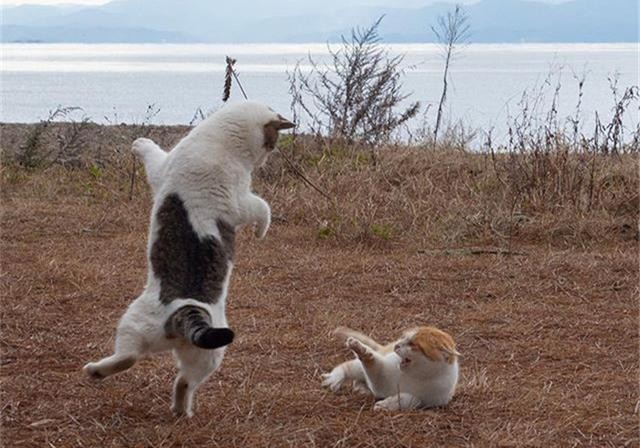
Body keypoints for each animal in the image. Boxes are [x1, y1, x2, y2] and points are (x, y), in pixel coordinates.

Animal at [82, 100, 296, 416]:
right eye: (272, 142)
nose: (268, 156)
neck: (222, 143)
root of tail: (191, 311)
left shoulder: (172, 172)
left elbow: (263, 208)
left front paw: (140, 143)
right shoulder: (239, 201)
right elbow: (262, 208)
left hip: (134, 320)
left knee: (129, 357)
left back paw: (95, 370)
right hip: (208, 356)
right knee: (184, 381)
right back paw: (182, 409)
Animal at [322, 326, 458, 410]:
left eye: (413, 344)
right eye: (403, 338)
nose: (396, 345)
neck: (418, 375)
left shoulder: (433, 400)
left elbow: (413, 399)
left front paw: (386, 404)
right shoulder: (382, 378)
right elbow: (371, 361)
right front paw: (360, 349)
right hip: (364, 365)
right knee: (349, 367)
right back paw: (335, 379)